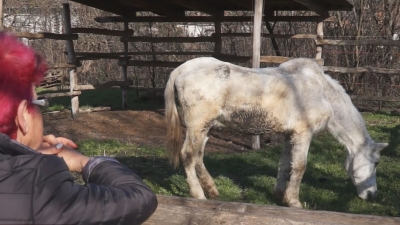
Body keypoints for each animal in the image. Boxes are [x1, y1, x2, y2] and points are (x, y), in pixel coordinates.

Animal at [163, 56, 388, 207]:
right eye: (376, 162)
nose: (372, 195)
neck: (321, 92)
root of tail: (182, 68)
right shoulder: (303, 134)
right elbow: (300, 166)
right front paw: (294, 201)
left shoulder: (290, 135)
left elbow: (285, 165)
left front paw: (281, 196)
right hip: (197, 126)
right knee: (188, 155)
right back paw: (198, 195)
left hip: (206, 128)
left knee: (198, 156)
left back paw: (212, 190)